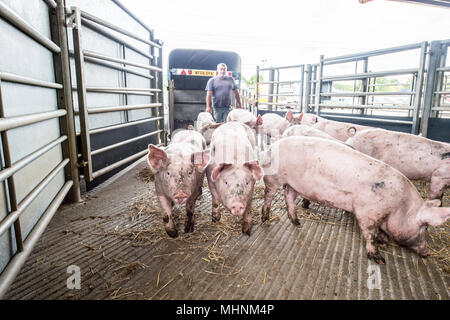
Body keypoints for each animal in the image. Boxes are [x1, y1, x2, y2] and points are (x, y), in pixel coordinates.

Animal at [260, 136, 450, 264]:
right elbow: (370, 234)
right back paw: (265, 218)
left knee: (289, 197)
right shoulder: (367, 212)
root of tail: (273, 145)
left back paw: (297, 222)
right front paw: (379, 259)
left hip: (294, 184)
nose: (427, 252)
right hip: (274, 177)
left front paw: (384, 240)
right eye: (424, 227)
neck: (400, 207)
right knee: (269, 194)